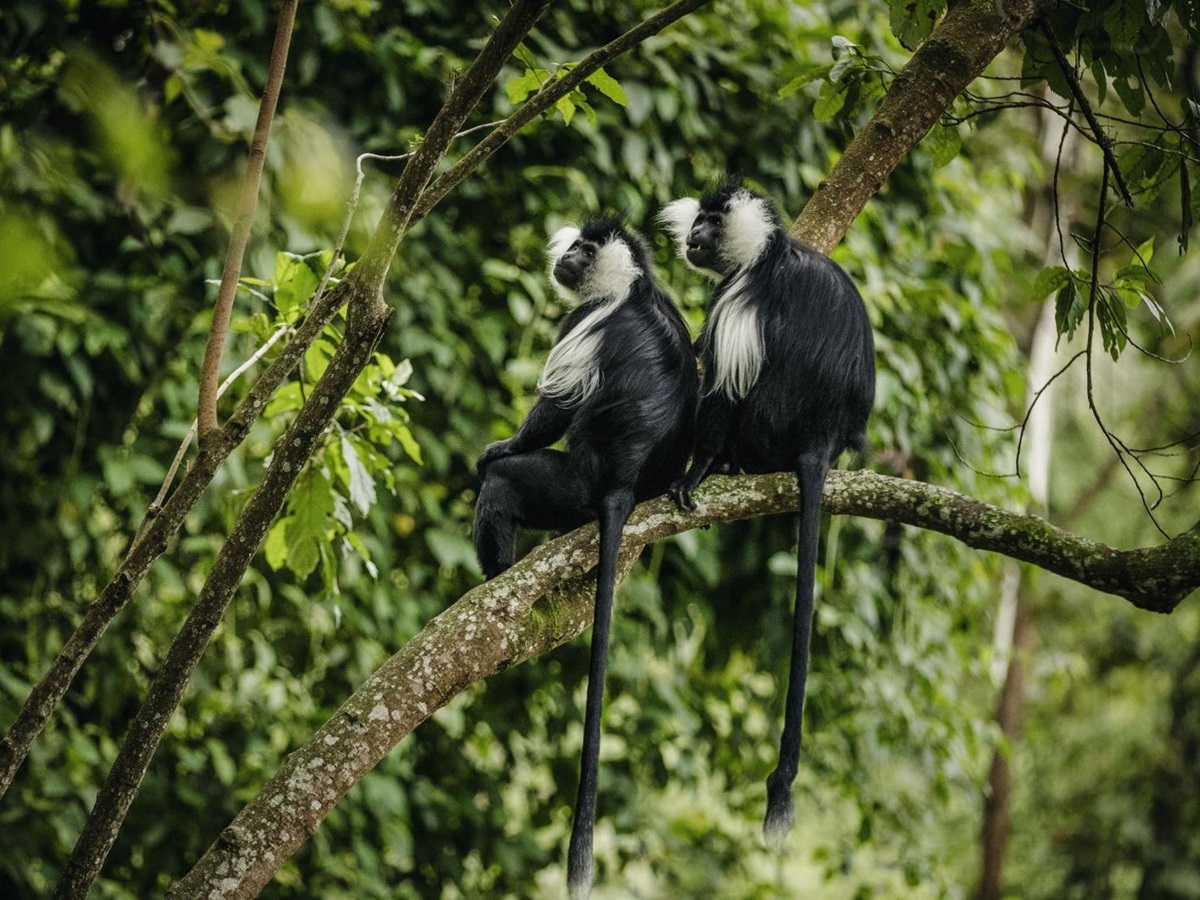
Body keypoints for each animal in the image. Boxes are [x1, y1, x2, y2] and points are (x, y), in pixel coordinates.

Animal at [474, 217, 698, 899]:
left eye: (586, 250)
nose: (568, 255)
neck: (631, 286)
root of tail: (622, 480)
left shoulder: (584, 321)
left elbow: (554, 409)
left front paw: (501, 445)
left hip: (568, 484)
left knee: (506, 487)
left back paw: (496, 578)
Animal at [659, 184, 875, 848]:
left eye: (710, 221)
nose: (693, 236)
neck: (766, 252)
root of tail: (821, 439)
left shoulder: (740, 299)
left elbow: (721, 389)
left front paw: (695, 472)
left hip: (767, 426)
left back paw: (724, 465)